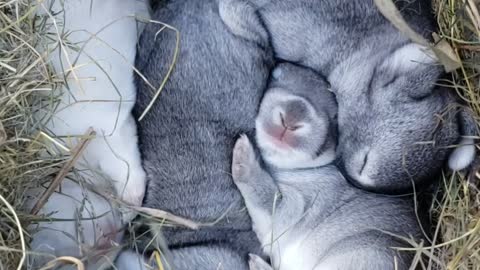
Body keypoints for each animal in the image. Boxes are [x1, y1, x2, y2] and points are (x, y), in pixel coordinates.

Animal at [232, 63, 424, 270]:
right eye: (275, 75)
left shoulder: (295, 206)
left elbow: (265, 197)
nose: (292, 117)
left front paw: (243, 154)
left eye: (335, 116)